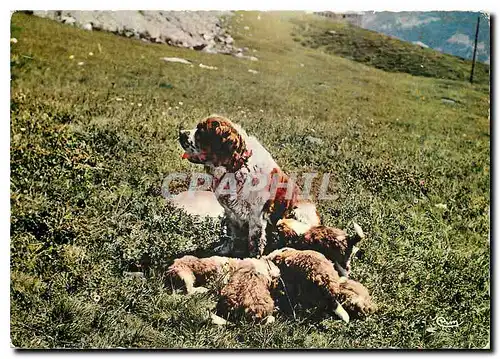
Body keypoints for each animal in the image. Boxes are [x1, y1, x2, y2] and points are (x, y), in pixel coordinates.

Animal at [180, 116, 320, 258]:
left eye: (201, 132)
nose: (181, 133)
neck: (236, 167)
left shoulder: (256, 214)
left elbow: (255, 240)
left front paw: (253, 258)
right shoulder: (230, 212)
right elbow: (231, 234)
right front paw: (226, 249)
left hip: (295, 215)